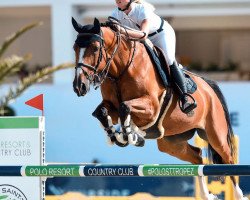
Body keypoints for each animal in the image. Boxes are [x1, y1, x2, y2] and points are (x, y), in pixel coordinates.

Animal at [71, 17, 247, 200]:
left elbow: (125, 107)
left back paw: (239, 195)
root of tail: (209, 88)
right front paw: (117, 136)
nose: (79, 86)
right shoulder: (111, 107)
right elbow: (102, 112)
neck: (120, 70)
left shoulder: (151, 108)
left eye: (95, 48)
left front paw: (132, 135)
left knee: (229, 160)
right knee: (198, 157)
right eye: (74, 48)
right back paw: (206, 195)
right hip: (171, 142)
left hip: (215, 134)